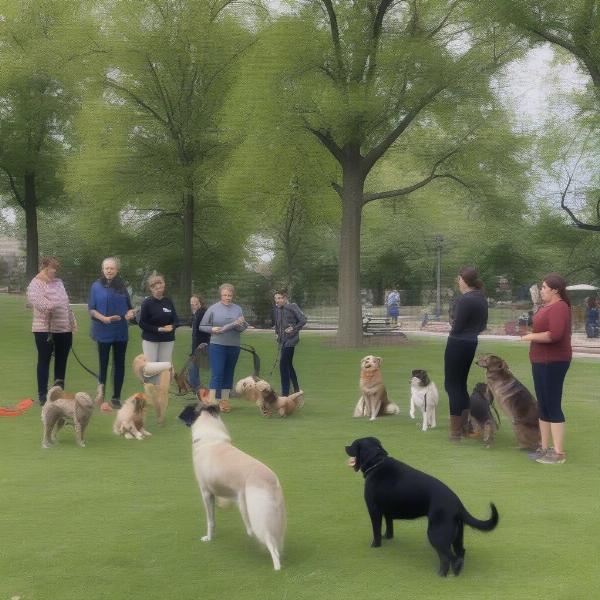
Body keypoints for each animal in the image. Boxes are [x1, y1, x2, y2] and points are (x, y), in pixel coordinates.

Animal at [180, 404, 286, 568]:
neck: (209, 439)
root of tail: (270, 479)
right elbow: (216, 516)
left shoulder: (206, 493)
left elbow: (210, 520)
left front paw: (208, 538)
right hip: (276, 515)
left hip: (259, 515)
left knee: (270, 544)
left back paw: (276, 567)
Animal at [344, 436, 500, 576]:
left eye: (354, 444)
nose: (345, 447)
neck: (377, 462)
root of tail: (457, 503)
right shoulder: (387, 512)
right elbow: (389, 527)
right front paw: (387, 537)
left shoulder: (374, 510)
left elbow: (376, 531)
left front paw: (375, 545)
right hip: (457, 535)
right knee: (460, 553)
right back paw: (457, 571)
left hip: (435, 533)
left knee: (447, 557)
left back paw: (441, 574)